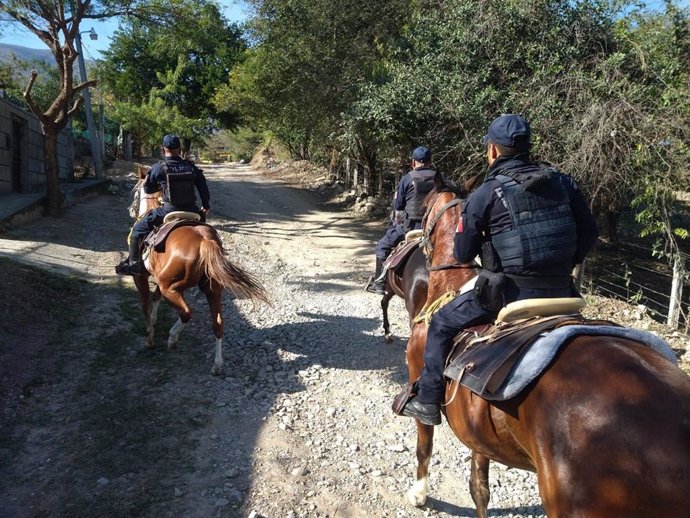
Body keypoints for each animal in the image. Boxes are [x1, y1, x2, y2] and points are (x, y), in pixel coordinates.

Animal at [127, 173, 268, 376]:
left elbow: (146, 303)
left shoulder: (141, 277)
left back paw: (172, 338)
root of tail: (205, 241)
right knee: (218, 323)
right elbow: (155, 298)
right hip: (211, 289)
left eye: (136, 191)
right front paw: (154, 320)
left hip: (171, 288)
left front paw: (150, 338)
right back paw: (217, 364)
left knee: (187, 312)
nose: (131, 209)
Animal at [404, 177, 688, 516]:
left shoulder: (418, 378)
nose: (409, 228)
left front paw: (418, 494)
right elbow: (479, 487)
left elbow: (424, 445)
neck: (451, 285)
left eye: (424, 207)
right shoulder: (477, 428)